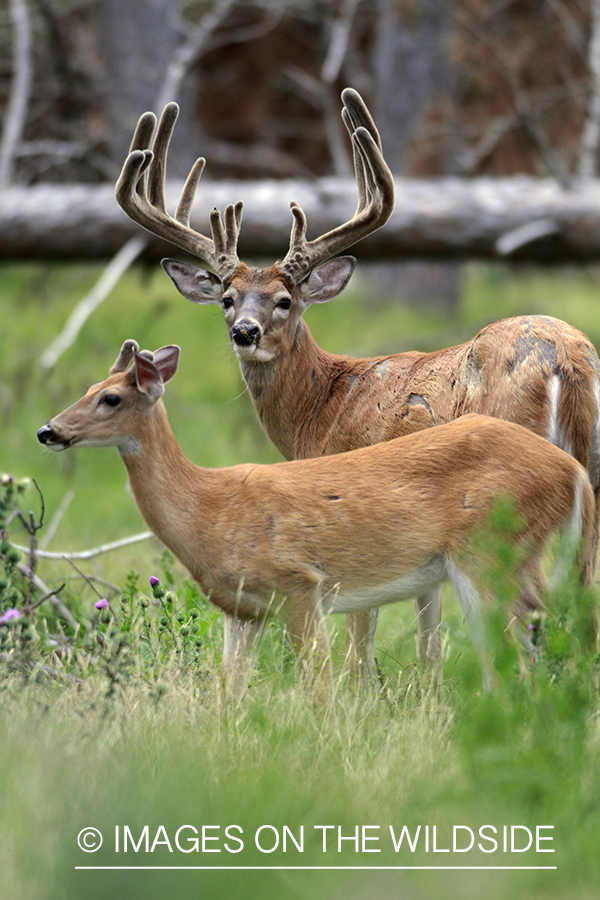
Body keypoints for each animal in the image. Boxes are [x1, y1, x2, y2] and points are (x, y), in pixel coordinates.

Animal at [39, 342, 596, 692]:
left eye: (111, 398)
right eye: (87, 388)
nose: (48, 430)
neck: (208, 510)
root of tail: (572, 473)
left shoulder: (300, 585)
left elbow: (320, 692)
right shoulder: (242, 610)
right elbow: (227, 694)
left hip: (489, 555)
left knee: (518, 661)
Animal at [116, 93, 600, 684]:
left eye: (285, 300)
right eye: (227, 298)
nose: (244, 332)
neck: (320, 405)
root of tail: (565, 360)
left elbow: (360, 636)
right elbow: (428, 630)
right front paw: (430, 690)